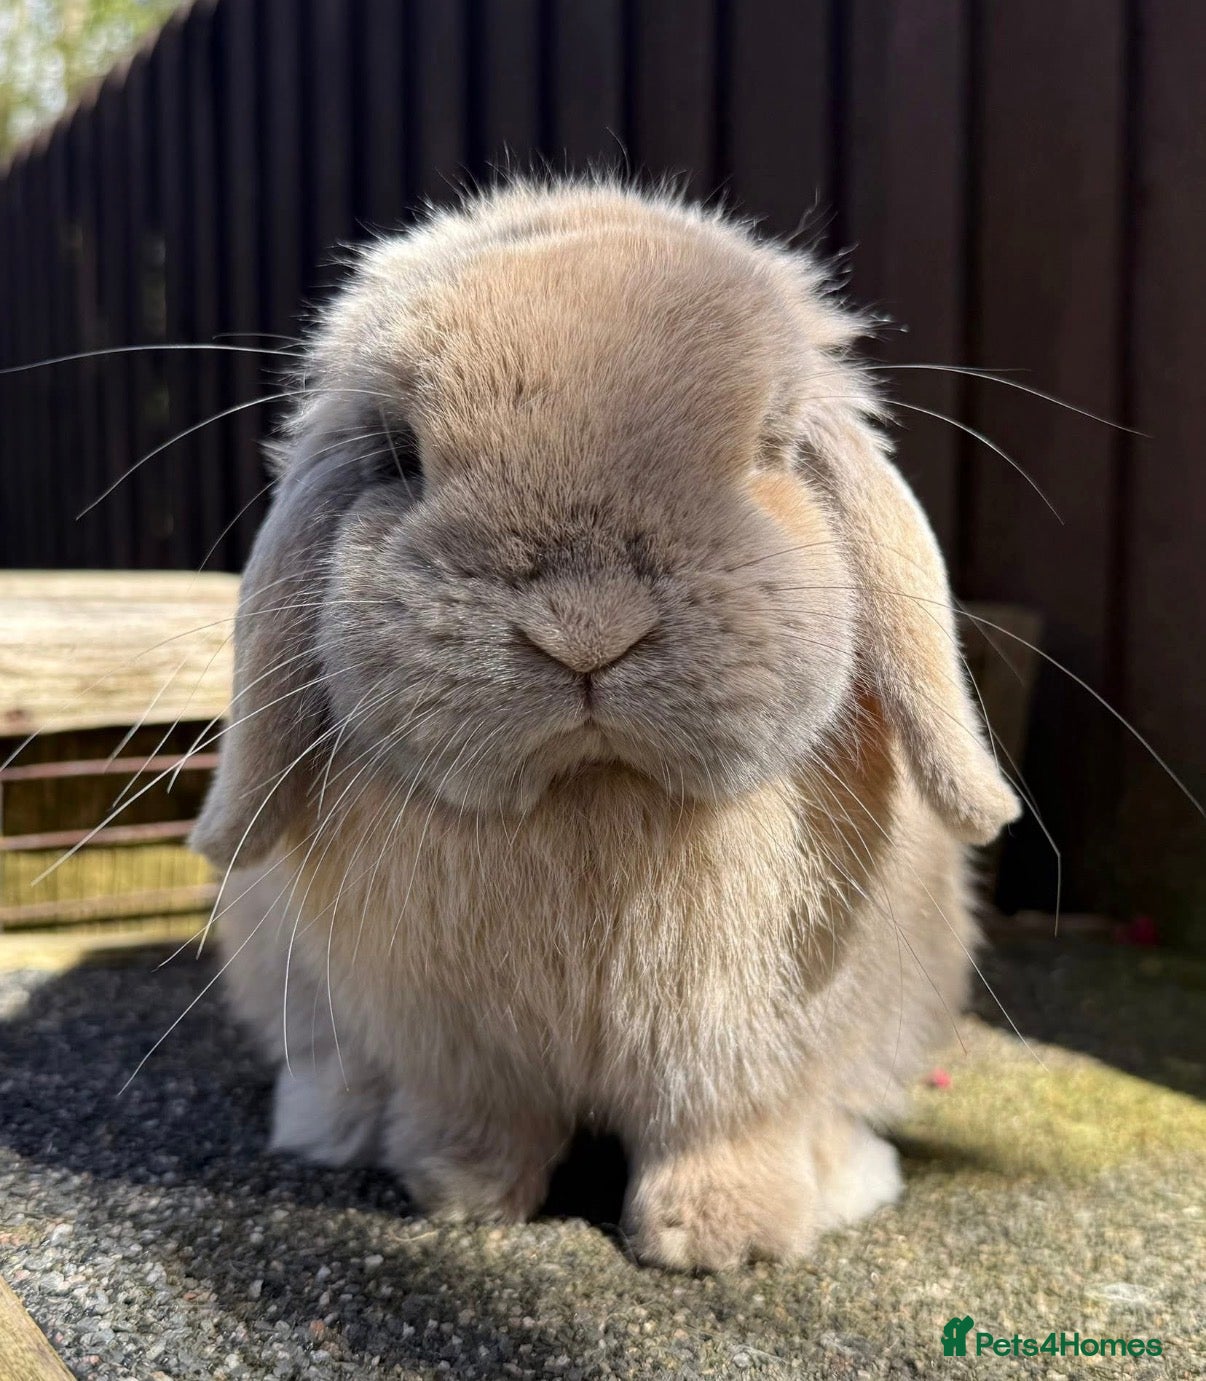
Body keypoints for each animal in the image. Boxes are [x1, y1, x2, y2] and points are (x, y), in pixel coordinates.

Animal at [191, 180, 1019, 1270]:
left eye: (770, 446)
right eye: (398, 456)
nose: (587, 627)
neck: (593, 793)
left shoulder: (746, 1054)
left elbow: (727, 1131)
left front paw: (722, 1240)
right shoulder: (456, 1053)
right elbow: (479, 1120)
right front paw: (460, 1196)